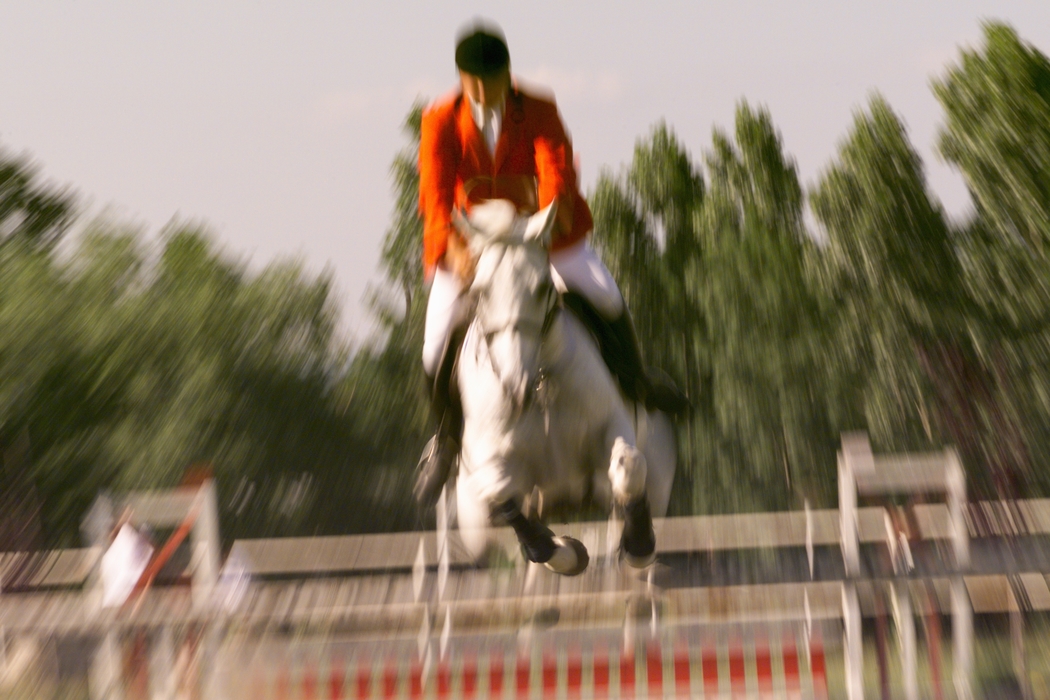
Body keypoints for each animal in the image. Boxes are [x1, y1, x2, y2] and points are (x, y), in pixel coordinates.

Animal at [447, 198, 676, 575]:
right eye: (480, 292)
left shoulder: (612, 425)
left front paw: (638, 547)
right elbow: (501, 494)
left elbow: (627, 468)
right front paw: (566, 554)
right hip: (476, 528)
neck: (542, 383)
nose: (516, 387)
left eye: (542, 287)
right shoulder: (492, 459)